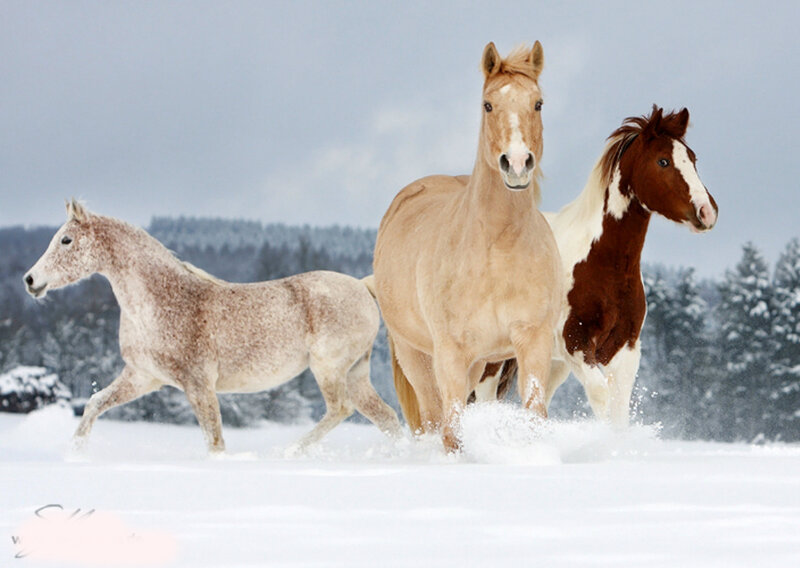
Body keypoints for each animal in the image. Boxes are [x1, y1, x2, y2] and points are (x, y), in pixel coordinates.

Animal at [24, 201, 401, 454]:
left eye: (66, 240)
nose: (30, 280)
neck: (160, 302)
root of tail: (363, 286)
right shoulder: (143, 377)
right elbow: (94, 403)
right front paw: (75, 451)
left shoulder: (198, 384)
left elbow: (215, 441)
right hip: (356, 372)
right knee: (386, 418)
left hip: (329, 367)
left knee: (341, 409)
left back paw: (291, 452)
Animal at [372, 42, 563, 451]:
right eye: (487, 105)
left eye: (538, 103)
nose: (517, 164)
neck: (497, 249)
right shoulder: (449, 352)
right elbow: (450, 431)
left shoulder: (531, 341)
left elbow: (535, 415)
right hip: (416, 355)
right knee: (432, 419)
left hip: (477, 363)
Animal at [476, 106, 719, 425]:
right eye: (663, 161)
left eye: (692, 159)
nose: (707, 211)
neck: (605, 265)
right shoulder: (576, 343)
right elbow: (601, 397)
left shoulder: (624, 349)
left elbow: (619, 409)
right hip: (490, 359)